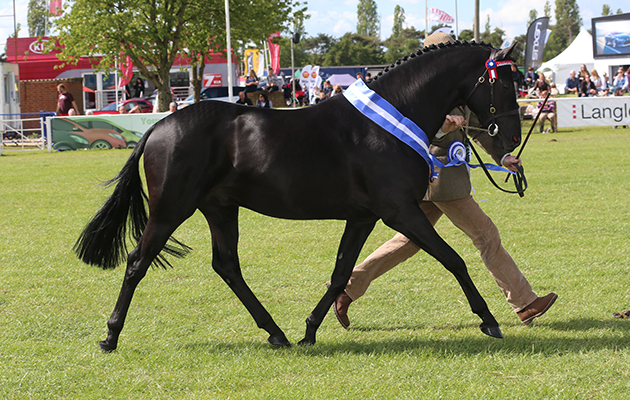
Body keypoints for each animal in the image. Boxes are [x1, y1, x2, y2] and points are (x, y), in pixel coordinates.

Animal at [75, 42, 524, 352]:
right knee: (138, 261)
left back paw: (276, 333)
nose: (511, 140)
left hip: (220, 209)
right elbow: (454, 259)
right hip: (172, 209)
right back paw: (110, 336)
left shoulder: (363, 217)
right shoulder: (399, 211)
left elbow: (341, 272)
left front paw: (309, 330)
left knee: (227, 266)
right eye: (503, 82)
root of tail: (158, 127)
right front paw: (488, 320)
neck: (388, 120)